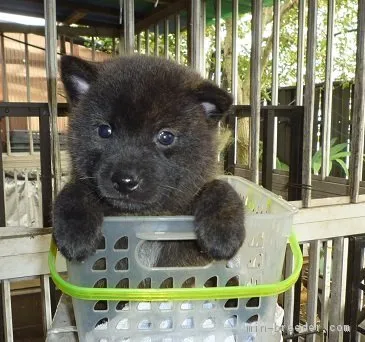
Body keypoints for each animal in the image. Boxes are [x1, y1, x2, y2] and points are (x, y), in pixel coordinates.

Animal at [53, 54, 245, 268]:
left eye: (166, 137)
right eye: (104, 131)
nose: (124, 181)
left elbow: (218, 186)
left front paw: (223, 233)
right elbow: (76, 188)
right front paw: (75, 231)